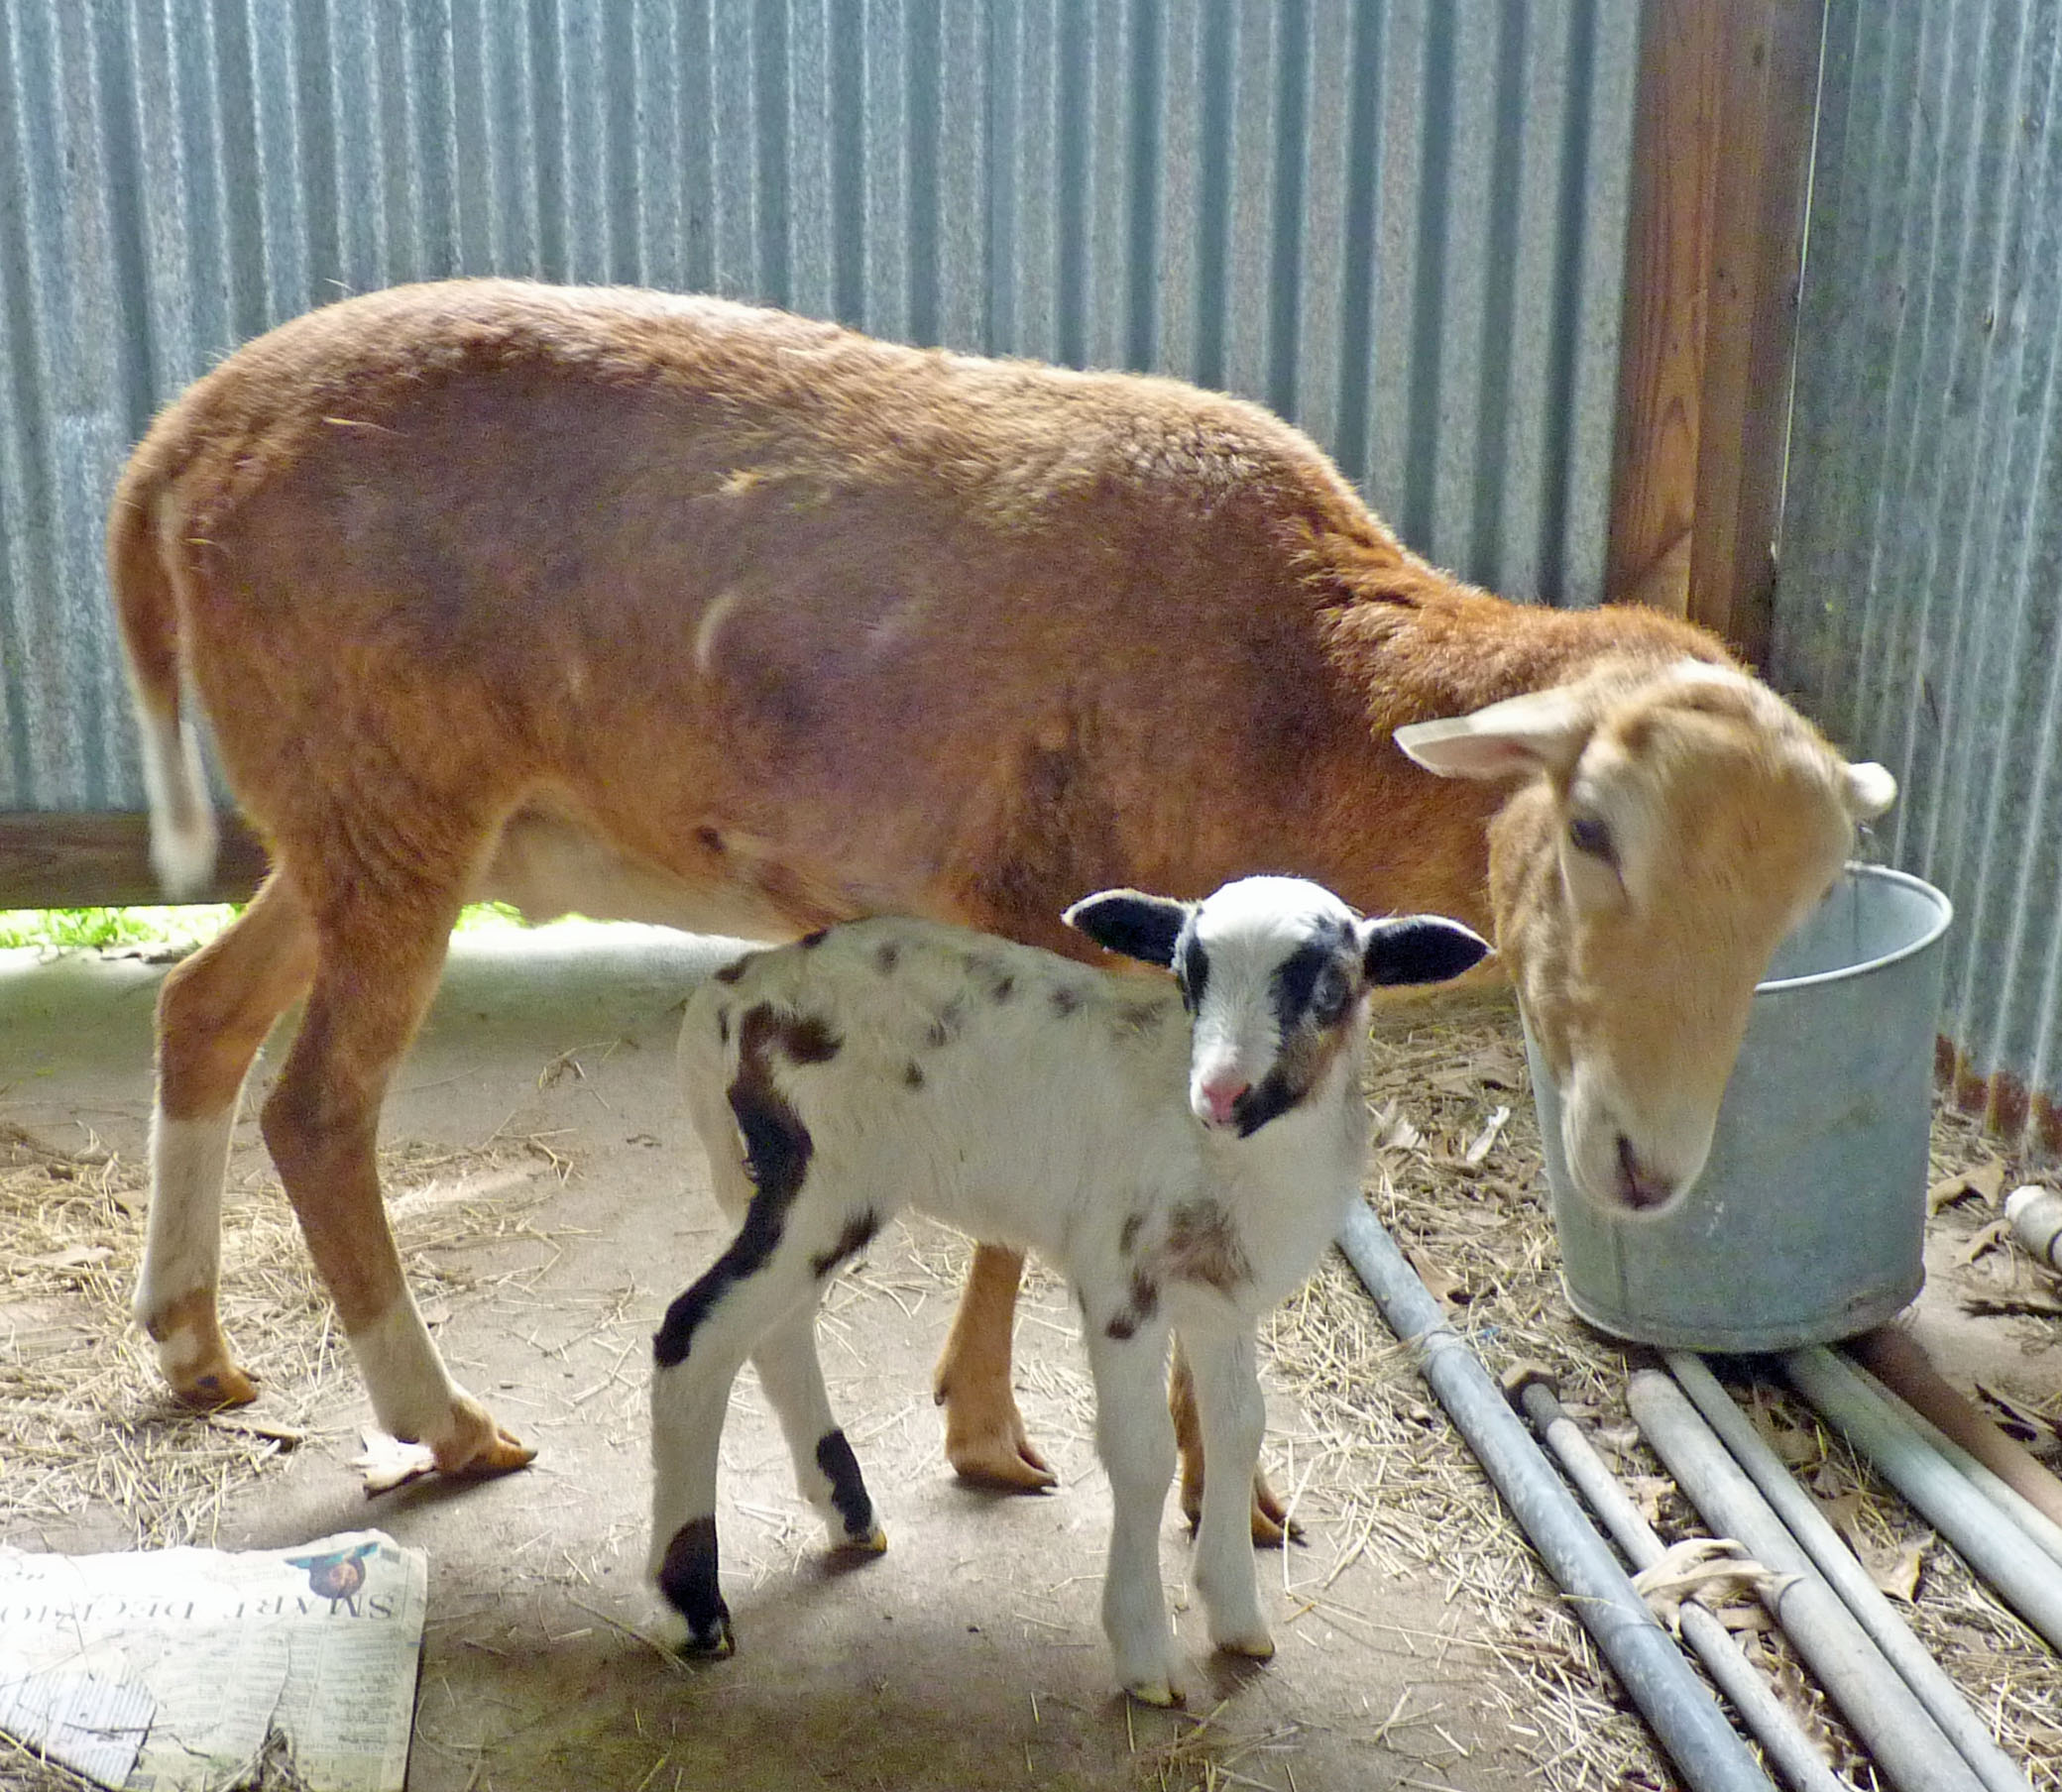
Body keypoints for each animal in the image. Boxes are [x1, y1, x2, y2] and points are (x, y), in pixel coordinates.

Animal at [110, 278, 1894, 1508]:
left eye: (1800, 905)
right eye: (1590, 828)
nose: (1647, 1165)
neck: (1310, 691)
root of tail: (174, 446)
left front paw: (1078, 1446)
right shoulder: (1062, 916)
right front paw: (1052, 1446)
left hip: (361, 813)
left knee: (200, 1008)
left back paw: (195, 1341)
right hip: (386, 787)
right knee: (318, 1109)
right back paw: (440, 1420)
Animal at [650, 876, 1489, 1703]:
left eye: (1331, 989)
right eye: (1188, 975)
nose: (1220, 1094)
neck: (1240, 1162)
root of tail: (727, 997)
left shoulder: (1221, 1300)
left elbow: (1236, 1432)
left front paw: (1238, 1618)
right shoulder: (1121, 1282)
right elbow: (1144, 1453)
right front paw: (1146, 1655)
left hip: (798, 1195)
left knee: (769, 1332)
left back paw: (849, 1516)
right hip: (823, 1179)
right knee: (693, 1336)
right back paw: (696, 1605)